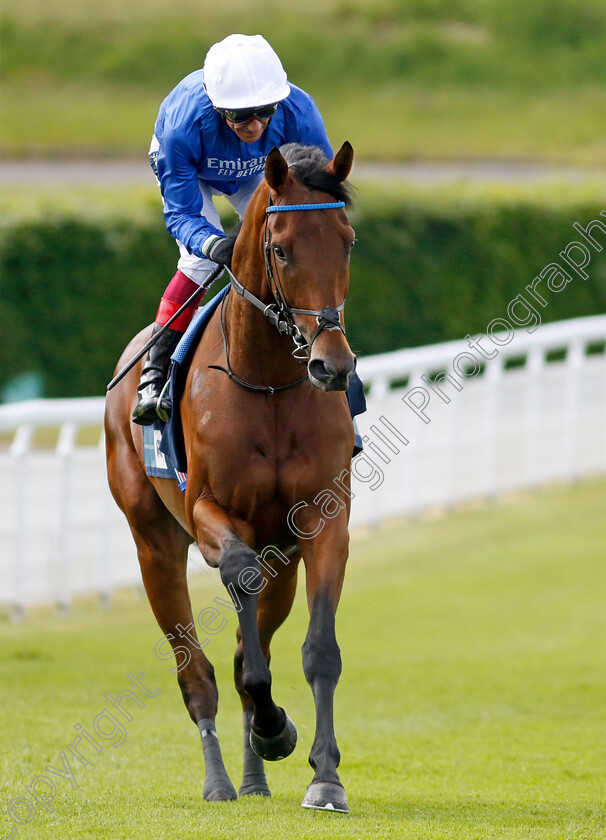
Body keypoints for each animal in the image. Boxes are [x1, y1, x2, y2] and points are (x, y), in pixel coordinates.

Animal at [104, 141, 358, 812]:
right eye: (282, 248)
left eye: (347, 241)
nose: (331, 364)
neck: (269, 381)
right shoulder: (210, 513)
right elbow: (239, 604)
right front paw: (276, 730)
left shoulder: (322, 521)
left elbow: (317, 650)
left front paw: (324, 775)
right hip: (154, 544)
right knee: (198, 671)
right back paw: (220, 781)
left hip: (282, 559)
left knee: (253, 646)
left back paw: (254, 775)